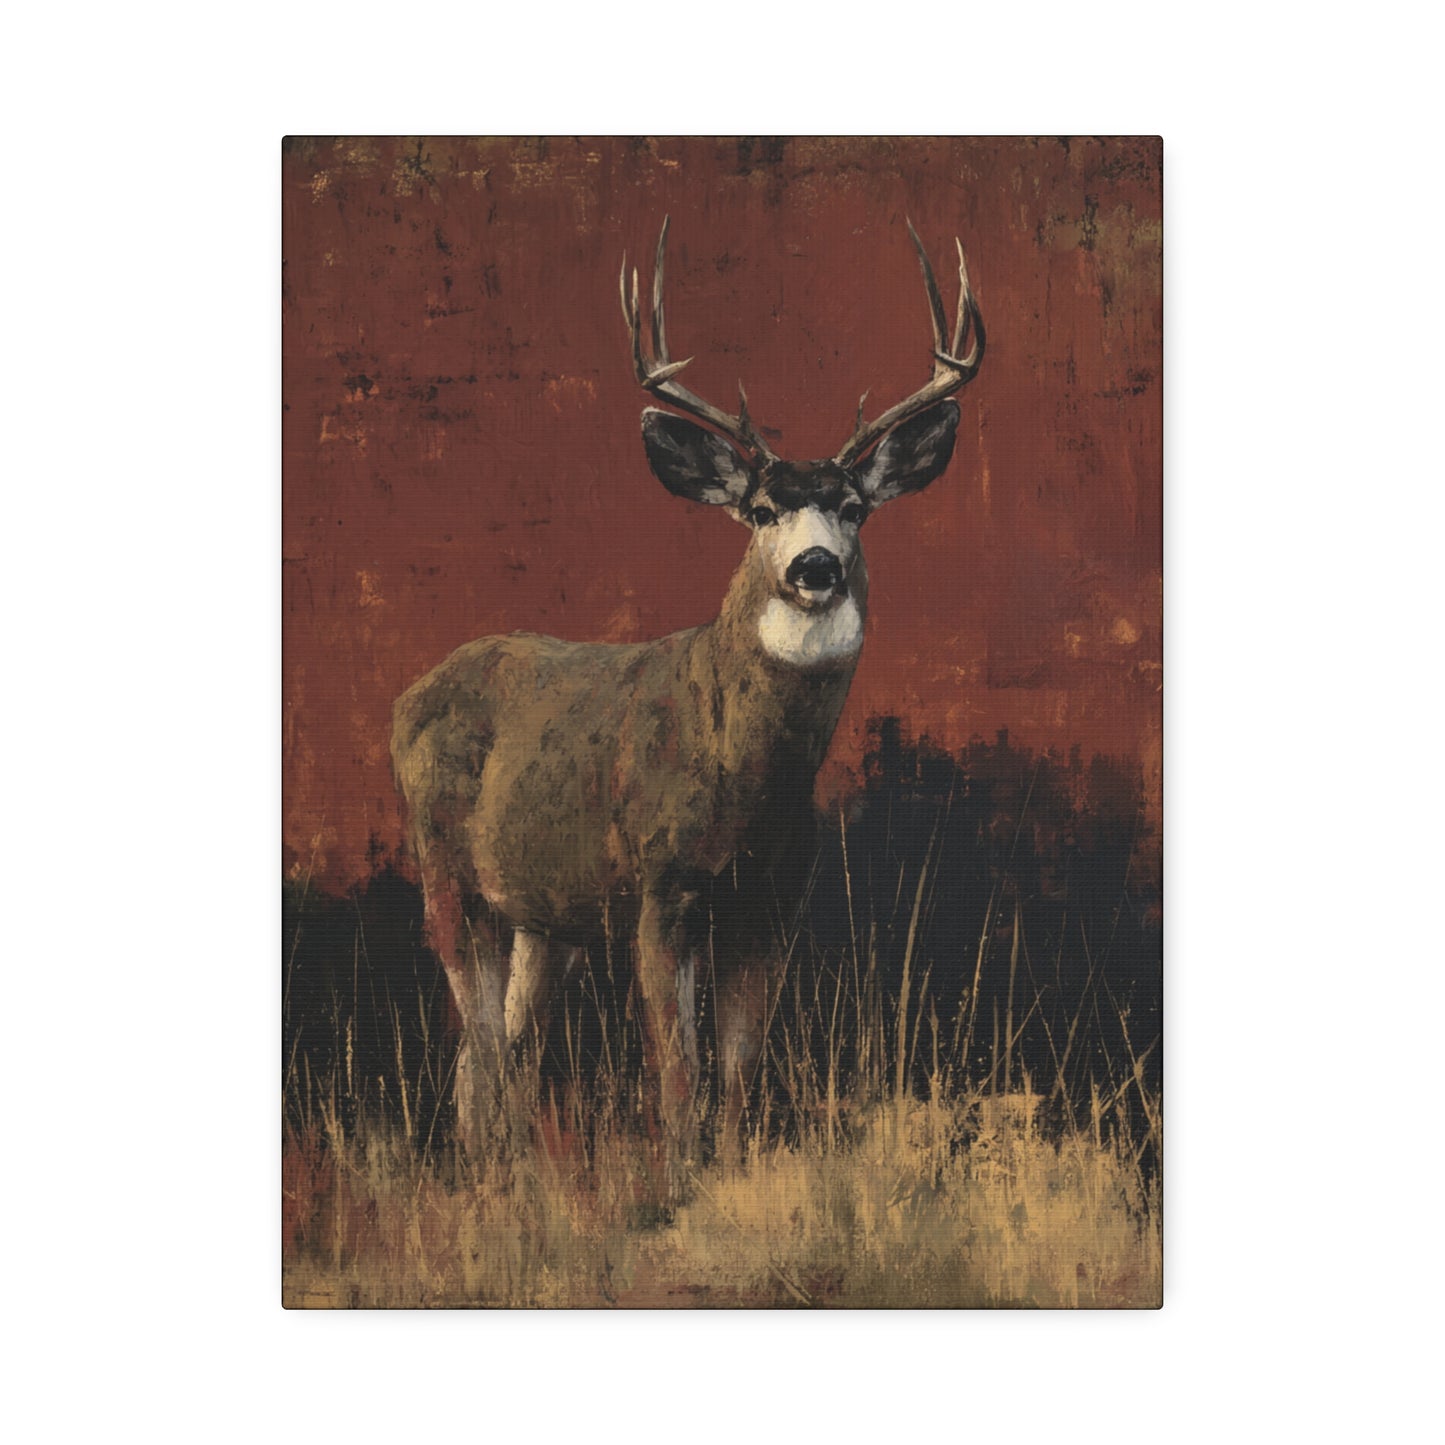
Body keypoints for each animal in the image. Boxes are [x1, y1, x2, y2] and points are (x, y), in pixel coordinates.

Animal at [391, 218, 984, 1186]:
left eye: (853, 508)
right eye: (759, 509)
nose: (813, 567)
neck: (743, 781)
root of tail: (408, 693)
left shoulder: (769, 900)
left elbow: (738, 1066)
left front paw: (727, 1175)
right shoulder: (658, 884)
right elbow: (677, 1064)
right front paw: (673, 1182)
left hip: (541, 912)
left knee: (503, 1047)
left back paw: (508, 1175)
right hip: (444, 868)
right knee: (476, 1039)